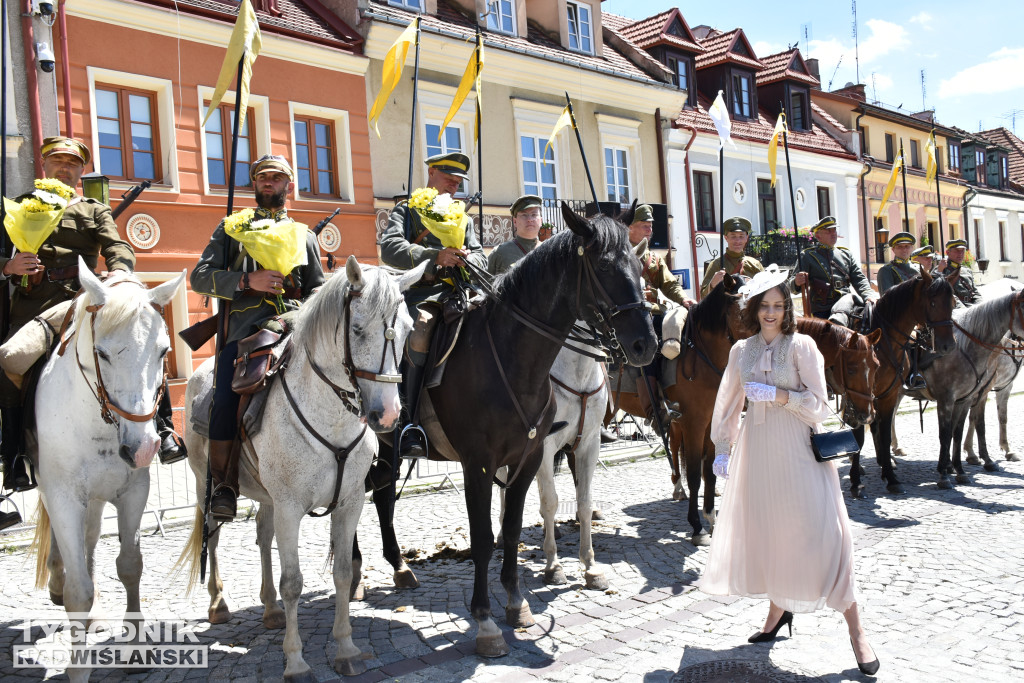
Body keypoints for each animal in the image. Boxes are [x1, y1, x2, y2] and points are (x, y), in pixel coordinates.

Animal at [30, 258, 184, 683]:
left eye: (164, 351)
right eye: (103, 353)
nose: (143, 447)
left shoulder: (133, 492)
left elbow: (130, 566)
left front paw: (135, 646)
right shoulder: (64, 497)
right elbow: (77, 592)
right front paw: (78, 666)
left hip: (98, 499)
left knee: (90, 541)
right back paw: (58, 579)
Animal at [180, 259, 423, 679]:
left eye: (408, 329)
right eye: (357, 329)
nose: (388, 414)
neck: (331, 419)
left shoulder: (349, 503)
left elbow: (343, 573)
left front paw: (345, 648)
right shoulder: (291, 507)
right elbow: (293, 582)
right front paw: (295, 661)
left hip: (267, 496)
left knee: (262, 536)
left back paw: (270, 609)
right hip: (204, 485)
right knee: (214, 534)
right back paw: (218, 603)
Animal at [360, 202, 651, 655]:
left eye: (638, 266)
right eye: (604, 265)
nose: (646, 344)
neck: (514, 359)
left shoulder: (530, 457)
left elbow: (516, 528)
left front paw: (517, 604)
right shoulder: (479, 464)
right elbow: (485, 536)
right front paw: (486, 622)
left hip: (390, 451)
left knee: (381, 495)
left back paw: (400, 567)